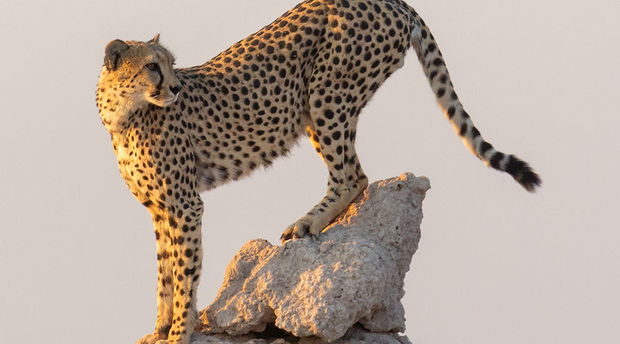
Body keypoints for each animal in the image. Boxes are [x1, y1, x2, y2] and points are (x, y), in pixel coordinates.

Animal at [95, 0, 536, 344]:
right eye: (152, 66)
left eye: (171, 64)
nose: (175, 88)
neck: (124, 114)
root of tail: (393, 1)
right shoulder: (160, 208)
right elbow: (164, 272)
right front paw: (160, 327)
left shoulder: (185, 205)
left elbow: (184, 271)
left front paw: (180, 331)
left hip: (325, 92)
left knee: (352, 175)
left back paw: (307, 223)